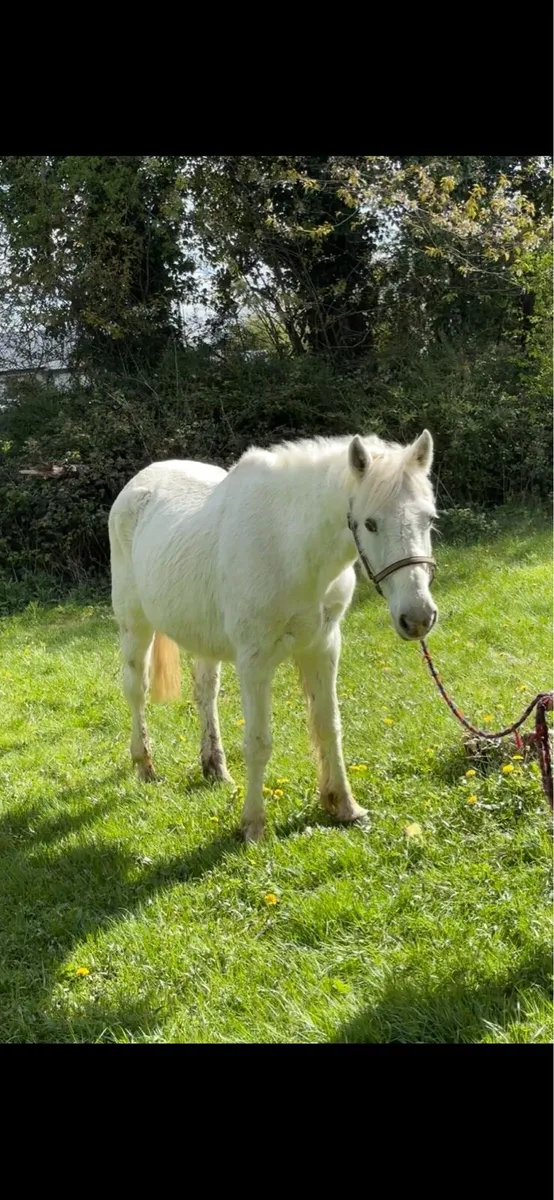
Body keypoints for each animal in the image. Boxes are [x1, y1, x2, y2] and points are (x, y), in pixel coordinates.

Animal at [109, 430, 438, 841]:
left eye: (429, 519)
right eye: (370, 524)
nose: (418, 617)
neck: (291, 548)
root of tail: (138, 483)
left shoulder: (323, 647)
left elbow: (329, 726)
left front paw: (344, 806)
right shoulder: (254, 662)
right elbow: (258, 743)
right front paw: (253, 825)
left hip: (205, 639)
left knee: (205, 692)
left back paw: (214, 768)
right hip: (134, 624)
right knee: (136, 691)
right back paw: (145, 766)